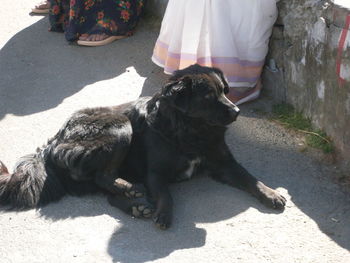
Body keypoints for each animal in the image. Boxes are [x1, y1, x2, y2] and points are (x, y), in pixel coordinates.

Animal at [0, 65, 284, 230]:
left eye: (225, 90)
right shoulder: (155, 173)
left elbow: (250, 179)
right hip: (121, 126)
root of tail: (52, 144)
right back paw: (129, 190)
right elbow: (165, 193)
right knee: (103, 177)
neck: (190, 131)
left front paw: (271, 194)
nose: (236, 111)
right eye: (208, 96)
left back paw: (135, 205)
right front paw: (164, 213)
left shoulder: (224, 162)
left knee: (105, 190)